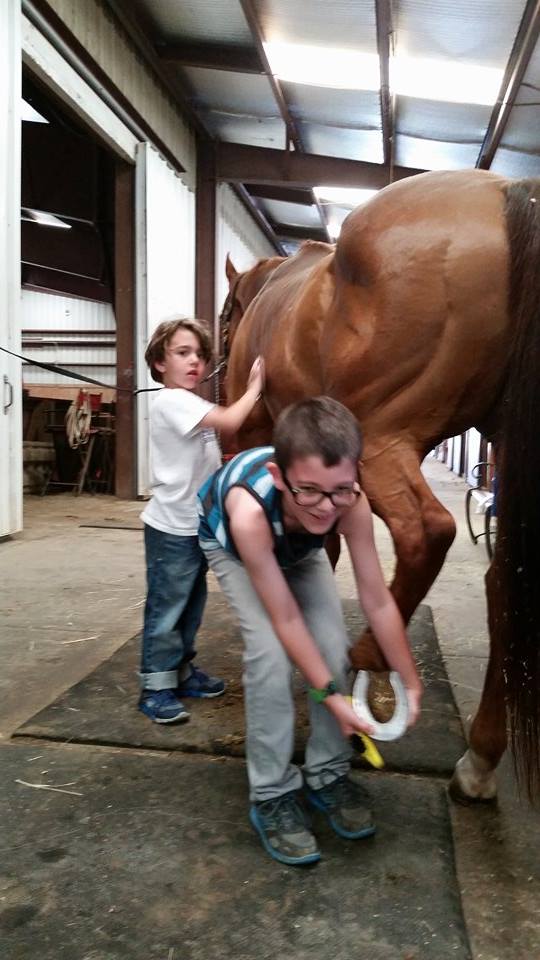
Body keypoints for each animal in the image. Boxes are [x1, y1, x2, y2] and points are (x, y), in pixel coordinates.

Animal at [220, 168, 540, 804]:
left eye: (224, 318)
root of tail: (508, 191)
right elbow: (322, 544)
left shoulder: (254, 435)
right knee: (503, 584)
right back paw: (478, 760)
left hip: (383, 437)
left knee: (428, 532)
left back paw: (369, 654)